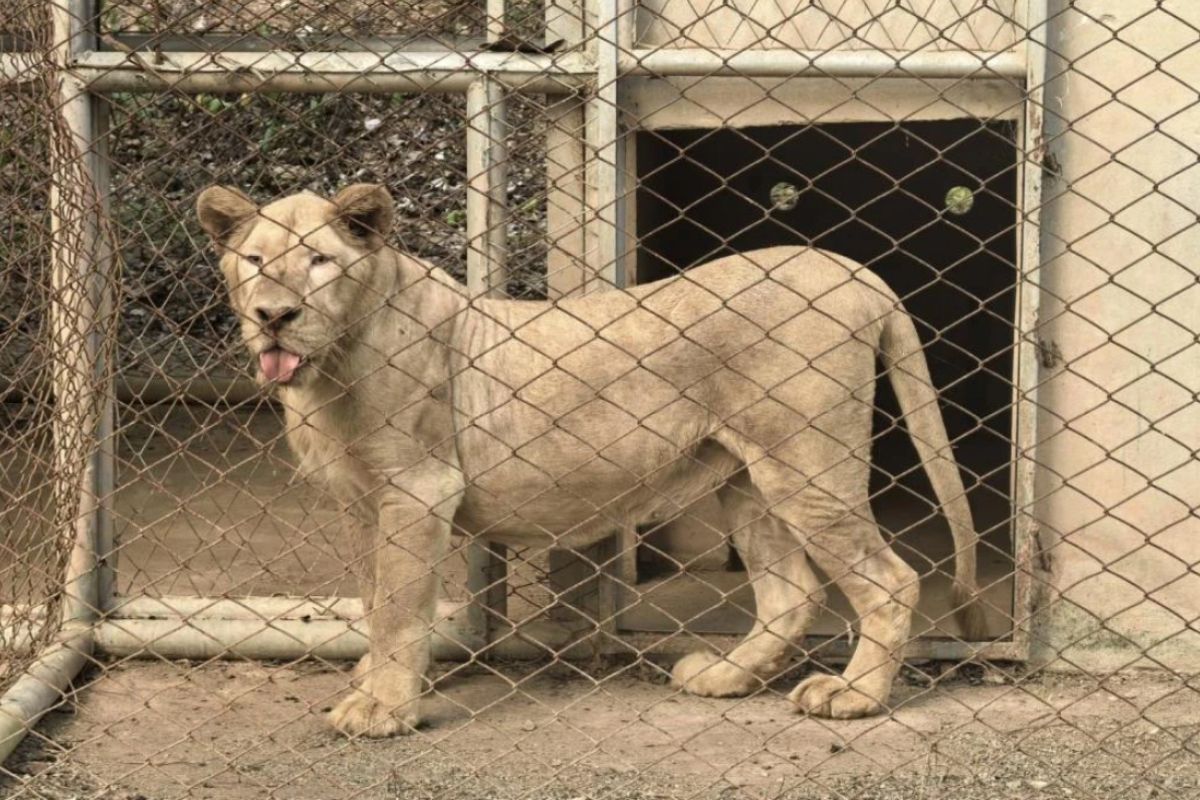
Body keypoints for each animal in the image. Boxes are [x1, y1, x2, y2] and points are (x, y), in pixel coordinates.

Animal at [196, 183, 985, 737]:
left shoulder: (419, 490)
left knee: (890, 581)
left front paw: (382, 708)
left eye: (320, 260)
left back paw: (854, 696)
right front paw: (371, 684)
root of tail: (851, 269)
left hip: (808, 464)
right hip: (748, 473)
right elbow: (374, 598)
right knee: (790, 592)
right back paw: (724, 677)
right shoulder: (361, 502)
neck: (330, 369)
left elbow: (396, 607)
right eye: (255, 261)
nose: (273, 316)